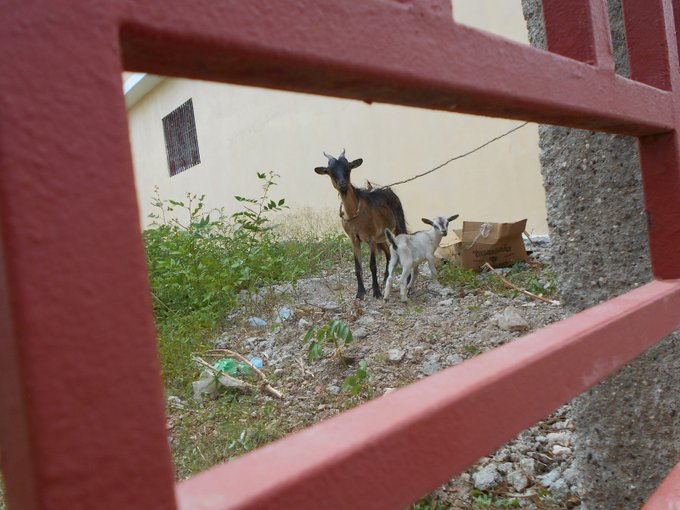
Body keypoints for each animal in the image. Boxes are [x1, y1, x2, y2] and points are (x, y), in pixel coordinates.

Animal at [315, 150, 407, 299]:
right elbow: (357, 267)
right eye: (330, 171)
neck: (354, 214)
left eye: (348, 168)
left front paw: (376, 292)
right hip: (381, 237)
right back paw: (385, 279)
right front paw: (360, 292)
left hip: (397, 226)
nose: (342, 184)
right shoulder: (354, 239)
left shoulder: (370, 238)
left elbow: (372, 265)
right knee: (388, 253)